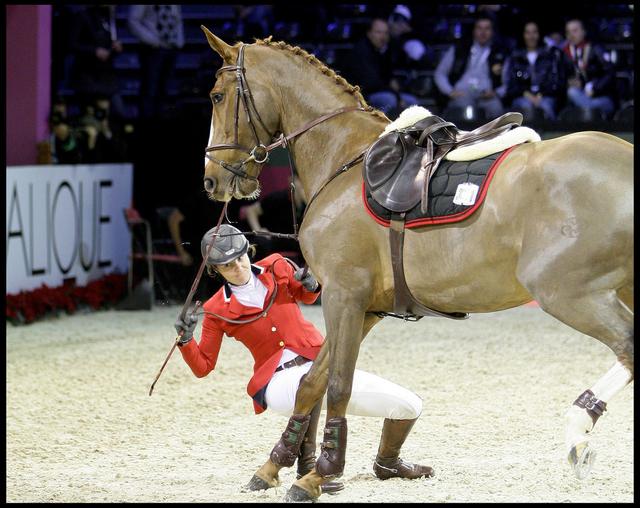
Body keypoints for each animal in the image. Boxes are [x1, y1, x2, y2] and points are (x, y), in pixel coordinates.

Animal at [201, 27, 636, 500]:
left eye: (217, 96)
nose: (212, 180)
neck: (344, 159)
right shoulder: (366, 307)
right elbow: (310, 383)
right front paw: (274, 466)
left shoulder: (344, 296)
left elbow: (338, 384)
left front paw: (319, 475)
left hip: (568, 292)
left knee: (627, 346)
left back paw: (578, 431)